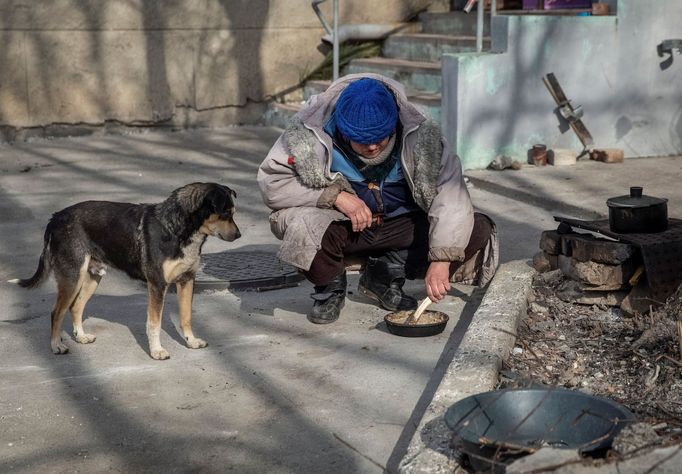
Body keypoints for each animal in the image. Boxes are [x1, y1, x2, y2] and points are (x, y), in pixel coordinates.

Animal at [9, 181, 240, 360]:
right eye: (225, 213)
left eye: (233, 213)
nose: (238, 235)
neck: (177, 228)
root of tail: (55, 218)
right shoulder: (158, 285)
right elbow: (154, 323)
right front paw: (157, 351)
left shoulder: (187, 280)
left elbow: (186, 317)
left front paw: (191, 342)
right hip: (72, 277)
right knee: (56, 312)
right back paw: (56, 345)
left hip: (92, 277)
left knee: (75, 307)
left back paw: (81, 337)